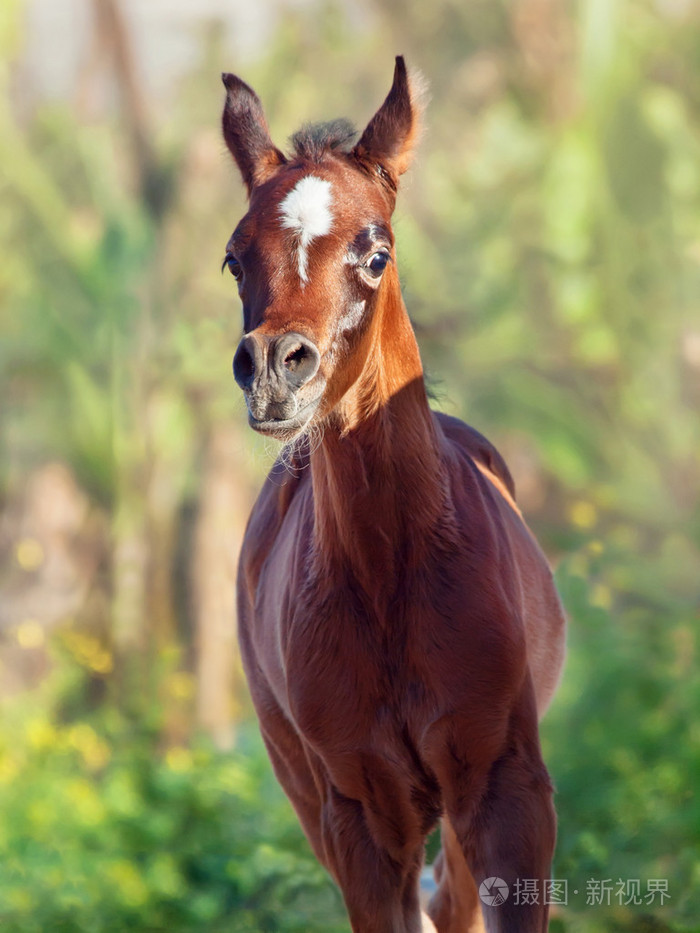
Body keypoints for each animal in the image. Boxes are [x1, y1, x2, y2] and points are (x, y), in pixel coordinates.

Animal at [220, 56, 566, 933]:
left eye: (375, 251)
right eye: (235, 258)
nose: (274, 371)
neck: (390, 579)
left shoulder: (508, 789)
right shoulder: (361, 814)